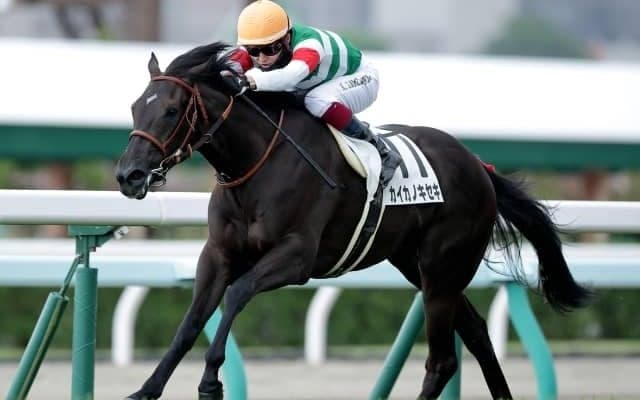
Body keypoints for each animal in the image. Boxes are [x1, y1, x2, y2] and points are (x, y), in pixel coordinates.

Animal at [115, 42, 592, 400]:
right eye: (137, 107)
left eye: (172, 110)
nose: (128, 175)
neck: (256, 163)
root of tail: (478, 165)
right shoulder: (217, 255)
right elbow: (191, 322)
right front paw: (146, 389)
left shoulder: (296, 257)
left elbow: (236, 295)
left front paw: (211, 381)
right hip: (418, 266)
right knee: (475, 333)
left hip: (442, 269)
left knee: (442, 360)